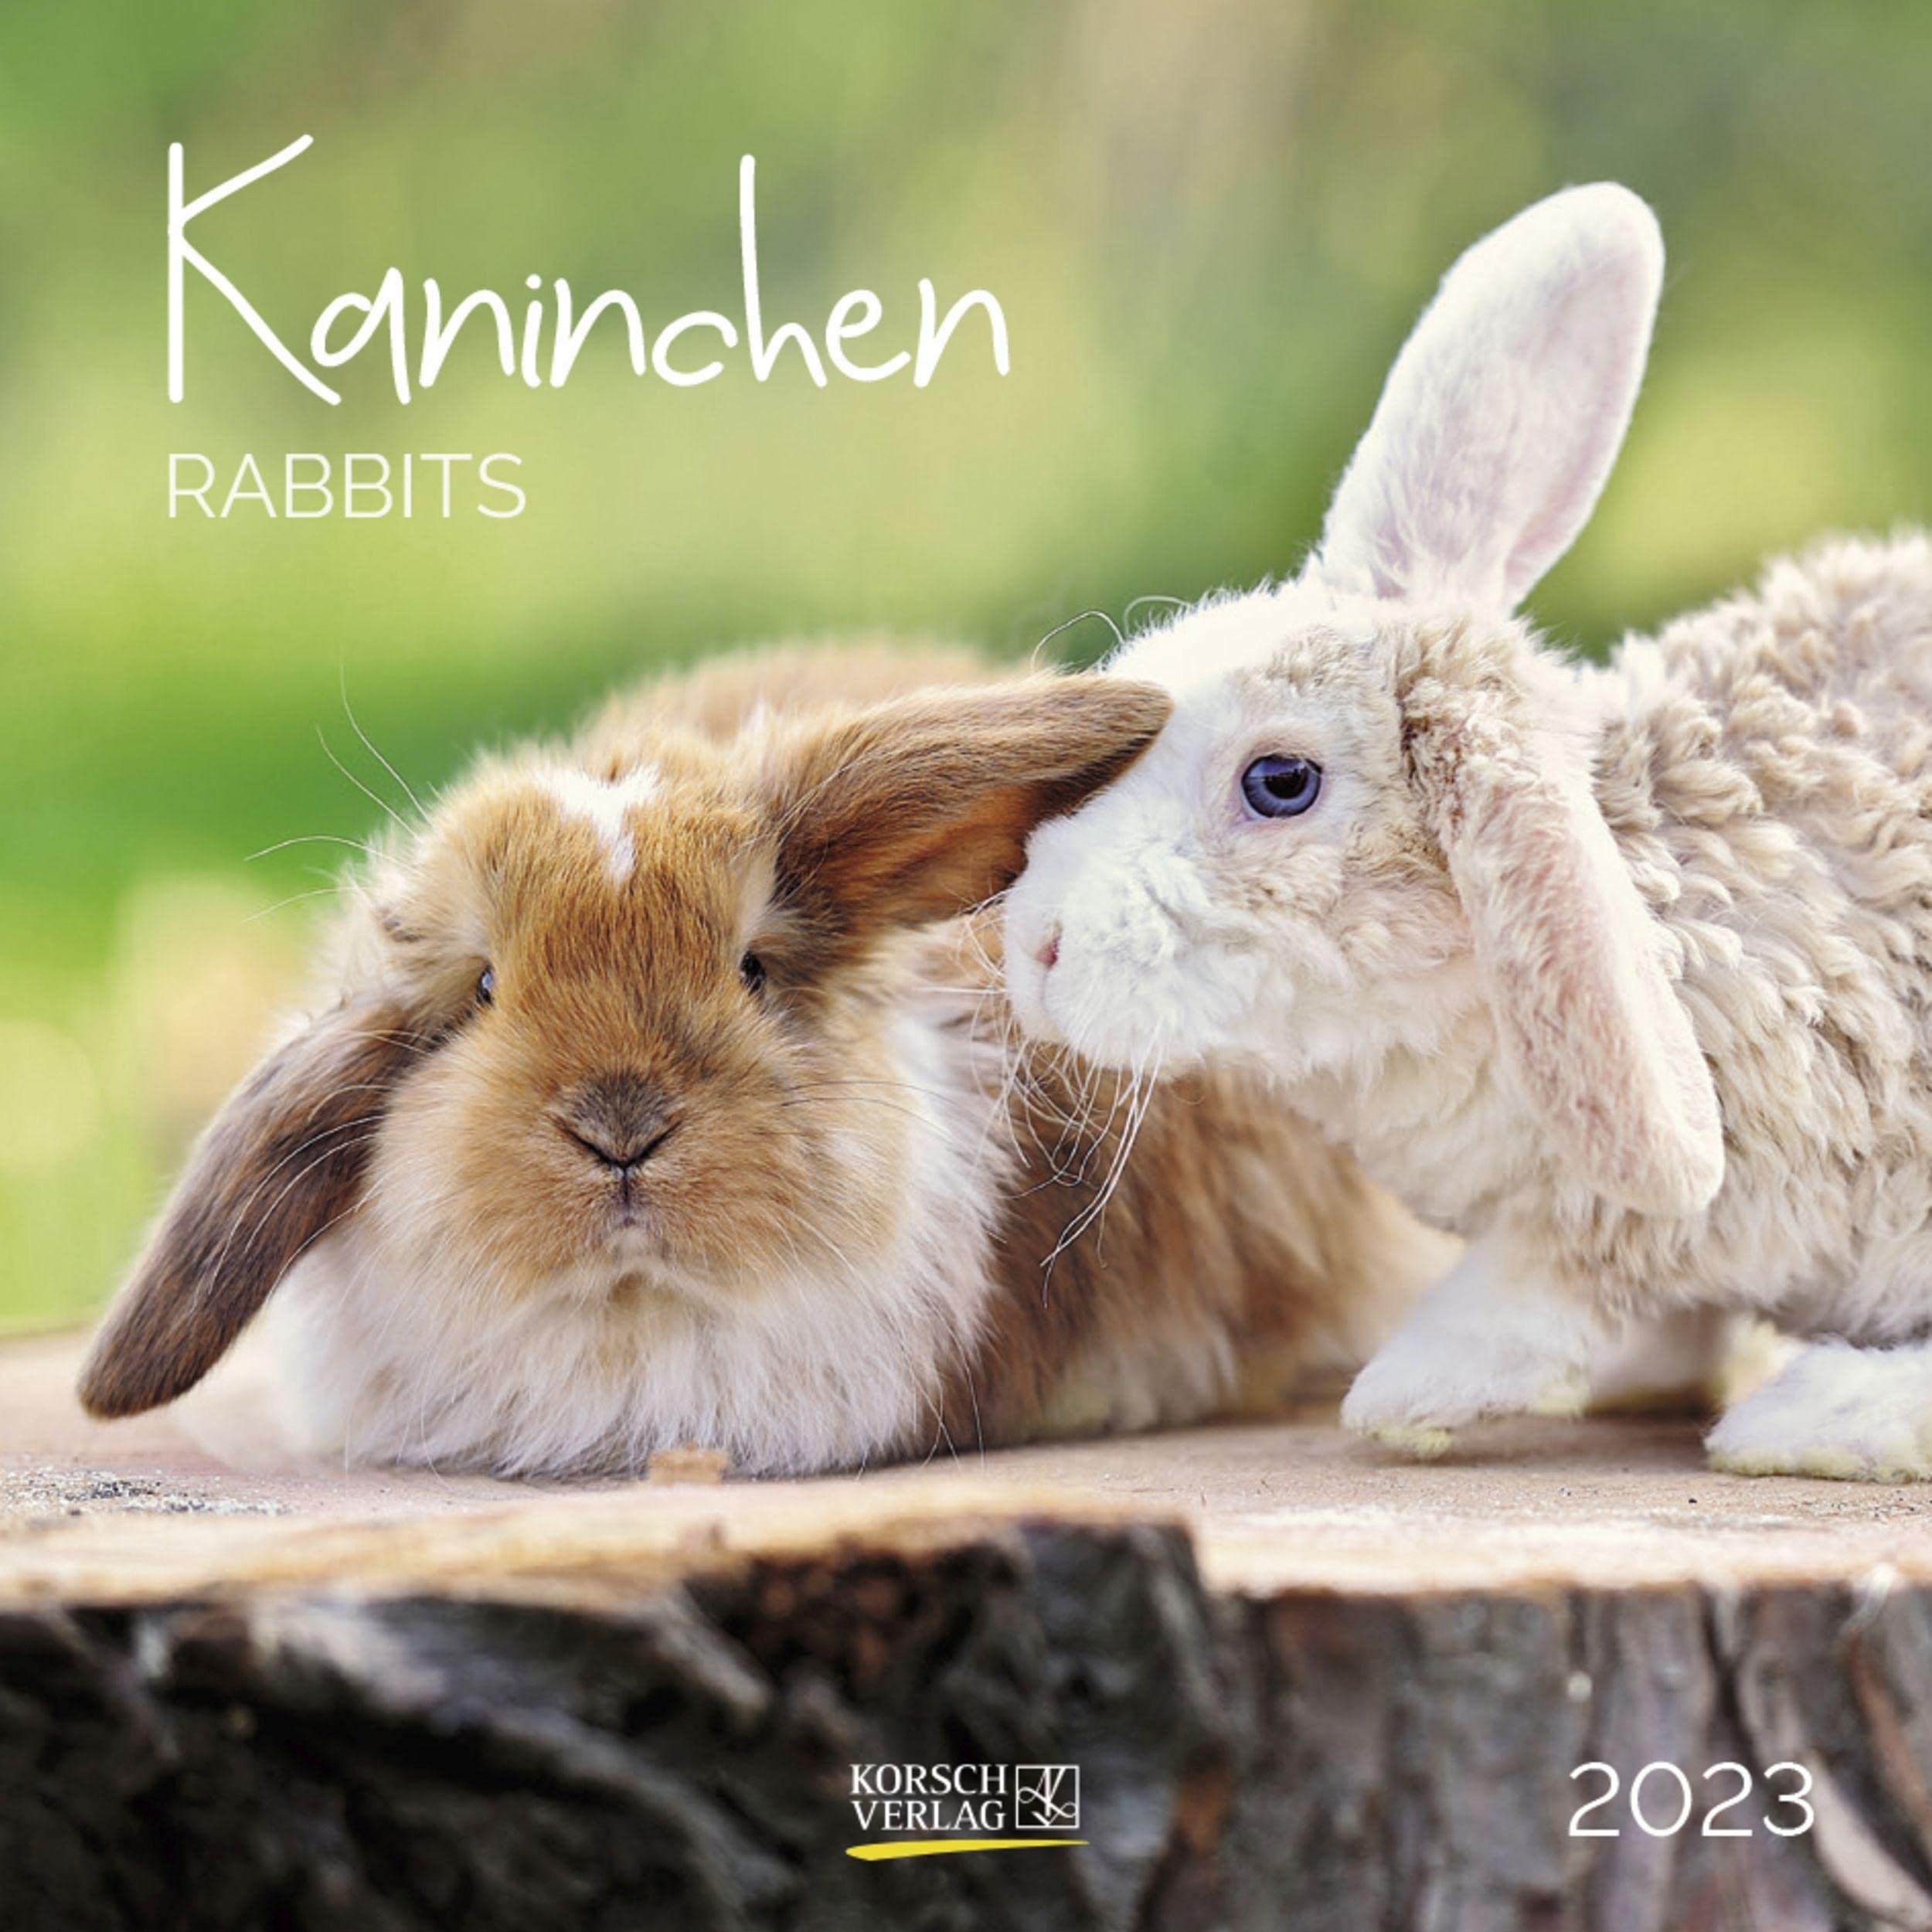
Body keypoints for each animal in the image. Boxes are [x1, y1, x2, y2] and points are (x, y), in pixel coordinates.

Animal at [1001, 179, 1932, 1481]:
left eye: (1279, 781)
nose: (1030, 945)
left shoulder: (1682, 1177)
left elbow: (1540, 1285)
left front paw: (1412, 1391)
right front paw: (1638, 1378)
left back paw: (1812, 1417)